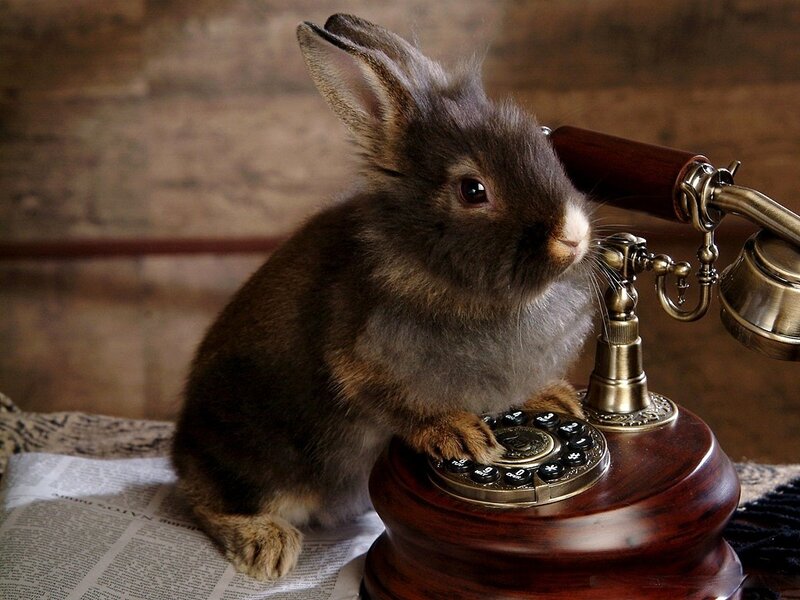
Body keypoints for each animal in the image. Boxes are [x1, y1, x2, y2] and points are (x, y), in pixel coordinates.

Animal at [171, 13, 596, 581]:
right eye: (473, 190)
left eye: (544, 145)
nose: (573, 236)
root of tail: (183, 447)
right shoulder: (360, 364)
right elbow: (400, 403)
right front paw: (460, 436)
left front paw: (557, 399)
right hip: (256, 453)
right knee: (208, 501)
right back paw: (267, 547)